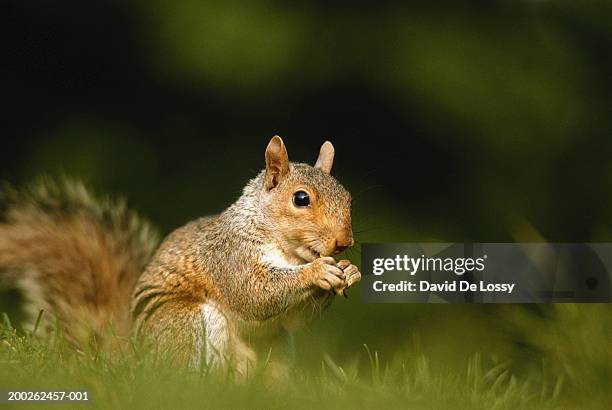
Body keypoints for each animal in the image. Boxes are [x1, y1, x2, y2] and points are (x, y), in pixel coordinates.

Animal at [0, 137, 360, 378]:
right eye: (301, 199)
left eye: (349, 198)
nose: (344, 243)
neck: (289, 252)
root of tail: (135, 360)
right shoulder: (229, 255)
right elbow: (254, 293)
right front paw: (317, 272)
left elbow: (294, 319)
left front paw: (350, 271)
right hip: (183, 322)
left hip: (277, 348)